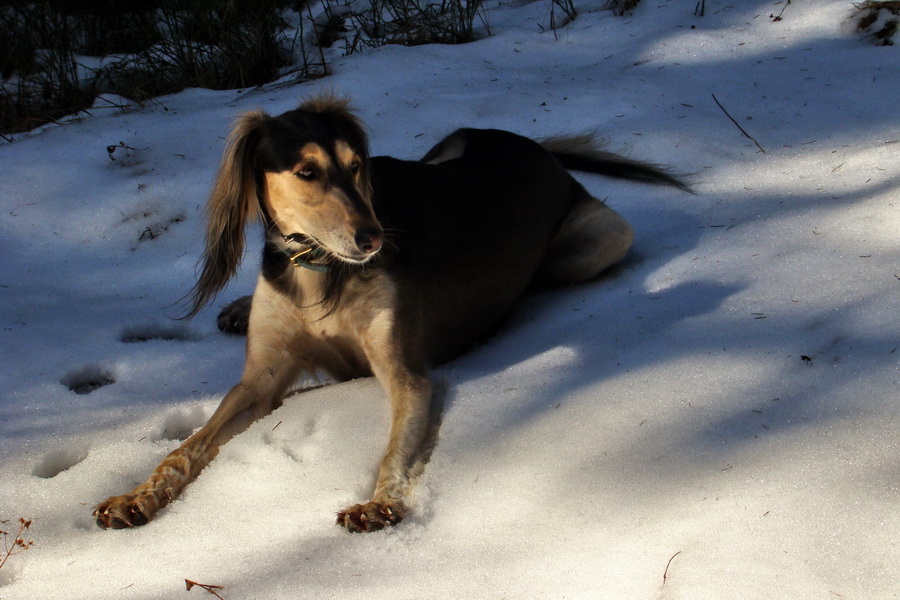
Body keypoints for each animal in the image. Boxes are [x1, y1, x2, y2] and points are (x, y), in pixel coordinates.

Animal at [93, 95, 684, 536]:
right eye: (307, 171)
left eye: (354, 167)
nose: (374, 239)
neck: (319, 268)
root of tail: (537, 150)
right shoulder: (260, 379)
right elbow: (186, 448)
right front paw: (136, 497)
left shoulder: (405, 375)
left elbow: (394, 450)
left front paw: (381, 503)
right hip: (442, 151)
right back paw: (238, 308)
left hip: (601, 240)